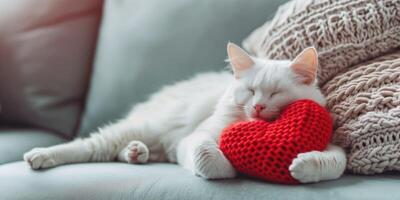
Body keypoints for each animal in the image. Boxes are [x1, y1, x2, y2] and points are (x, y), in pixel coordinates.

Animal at [23, 42, 346, 183]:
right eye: (251, 90)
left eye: (276, 93)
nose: (257, 106)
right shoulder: (197, 137)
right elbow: (209, 159)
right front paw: (230, 167)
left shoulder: (331, 146)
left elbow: (334, 163)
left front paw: (302, 167)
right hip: (140, 128)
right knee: (87, 147)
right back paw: (39, 156)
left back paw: (136, 153)